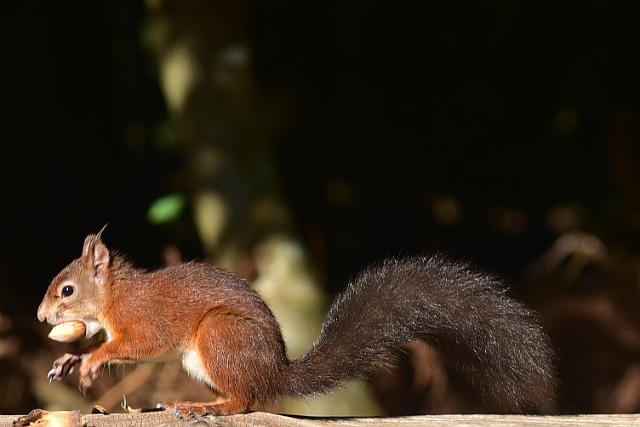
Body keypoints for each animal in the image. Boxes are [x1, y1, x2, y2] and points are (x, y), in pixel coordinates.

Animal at [37, 232, 556, 418]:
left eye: (67, 291)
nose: (41, 317)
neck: (113, 297)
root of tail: (274, 372)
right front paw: (69, 360)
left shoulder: (144, 320)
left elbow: (137, 344)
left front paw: (93, 362)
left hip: (220, 336)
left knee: (247, 402)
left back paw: (205, 407)